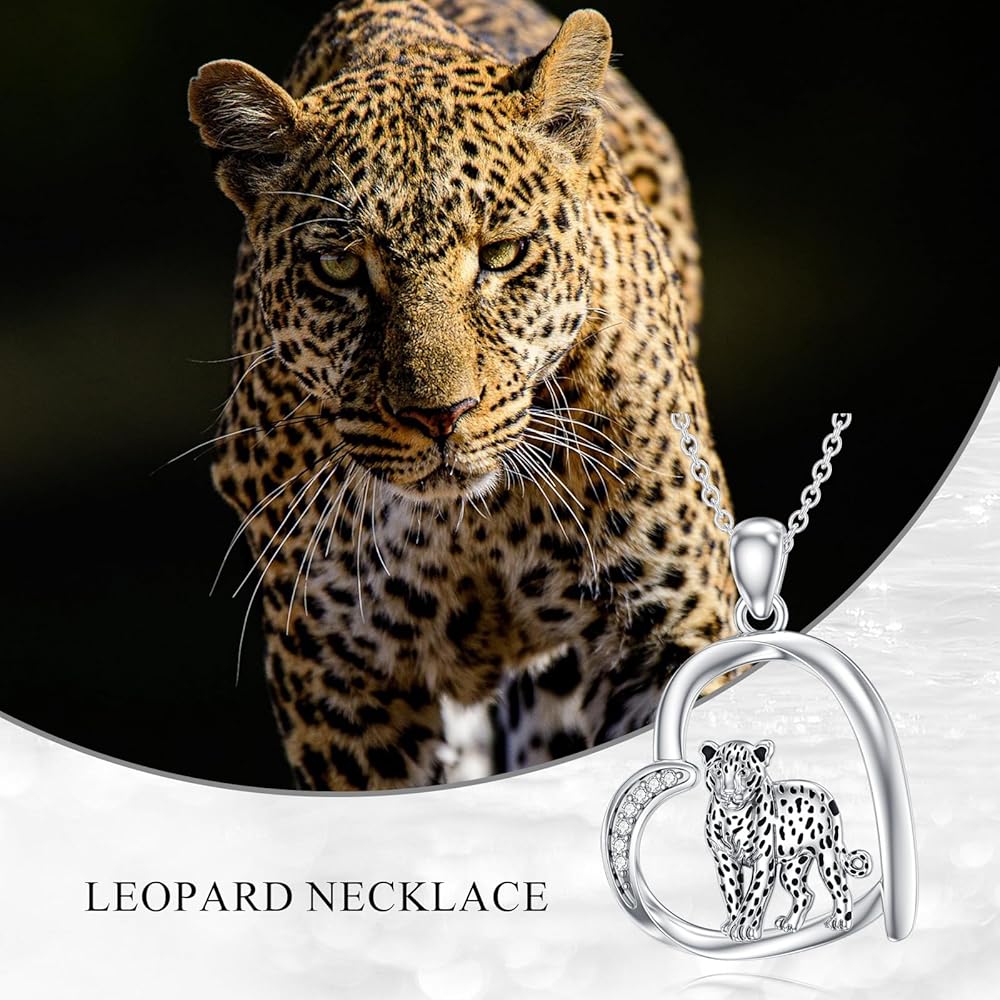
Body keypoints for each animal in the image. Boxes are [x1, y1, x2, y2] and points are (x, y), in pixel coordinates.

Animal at [186, 0, 734, 790]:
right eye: (341, 267)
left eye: (503, 254)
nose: (441, 416)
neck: (471, 526)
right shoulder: (337, 682)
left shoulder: (668, 629)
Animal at [701, 739, 873, 942]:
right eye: (718, 771)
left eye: (743, 771)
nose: (728, 793)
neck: (733, 818)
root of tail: (824, 794)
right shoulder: (724, 859)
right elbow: (732, 894)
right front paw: (736, 926)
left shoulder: (764, 860)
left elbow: (754, 896)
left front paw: (742, 929)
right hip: (791, 869)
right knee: (805, 894)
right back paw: (790, 924)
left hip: (827, 856)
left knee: (842, 889)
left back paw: (840, 921)